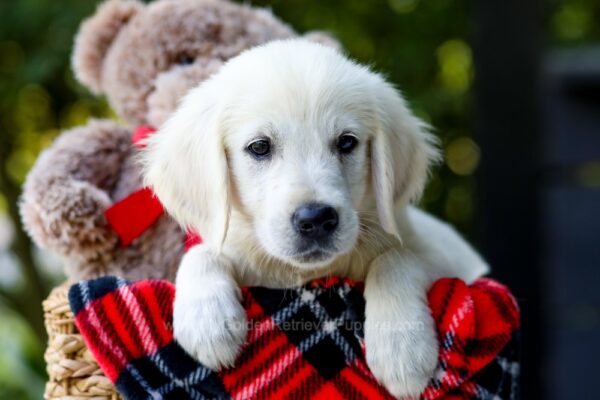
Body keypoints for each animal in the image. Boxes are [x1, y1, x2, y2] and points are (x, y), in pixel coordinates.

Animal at [143, 39, 490, 396]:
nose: (316, 219)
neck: (307, 274)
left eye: (347, 142)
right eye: (259, 147)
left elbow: (396, 258)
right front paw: (207, 321)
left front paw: (402, 348)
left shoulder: (443, 254)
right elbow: (203, 253)